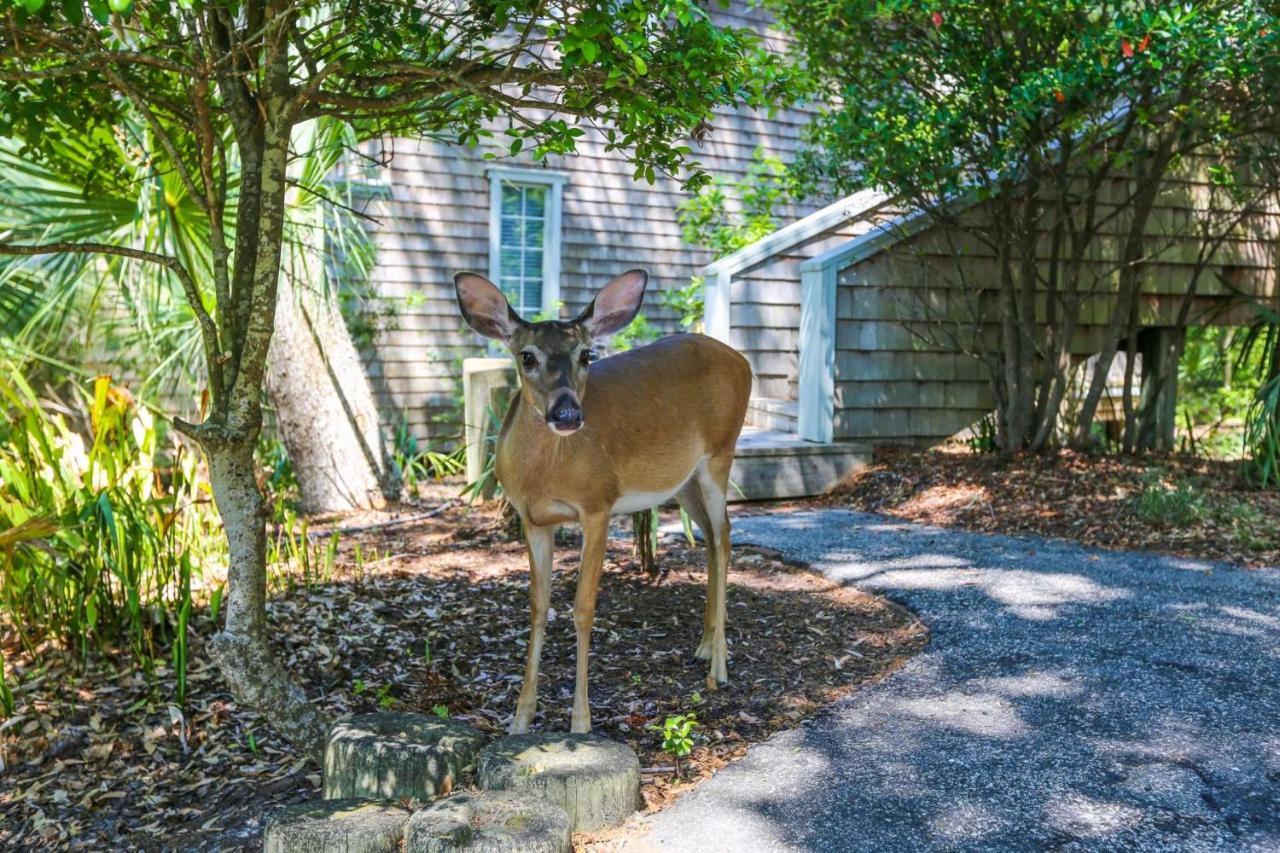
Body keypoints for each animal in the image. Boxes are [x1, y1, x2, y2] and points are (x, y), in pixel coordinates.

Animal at [453, 267, 747, 732]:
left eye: (587, 355)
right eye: (527, 356)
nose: (567, 414)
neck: (544, 477)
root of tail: (743, 361)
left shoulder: (598, 505)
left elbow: (583, 608)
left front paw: (580, 722)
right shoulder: (532, 519)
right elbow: (538, 608)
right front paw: (520, 719)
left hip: (721, 452)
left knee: (723, 535)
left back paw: (718, 667)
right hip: (682, 480)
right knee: (715, 540)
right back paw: (704, 648)